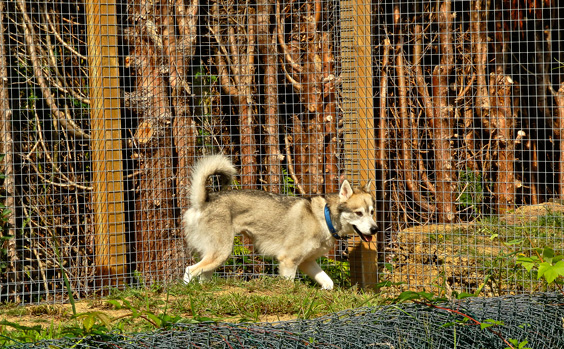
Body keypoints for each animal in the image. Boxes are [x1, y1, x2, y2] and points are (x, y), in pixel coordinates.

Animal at [183, 154, 378, 288]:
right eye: (359, 213)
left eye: (372, 212)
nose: (375, 229)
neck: (324, 217)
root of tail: (204, 201)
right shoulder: (288, 262)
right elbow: (289, 284)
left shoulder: (307, 262)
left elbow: (329, 283)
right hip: (221, 253)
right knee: (189, 271)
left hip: (215, 258)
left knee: (202, 276)